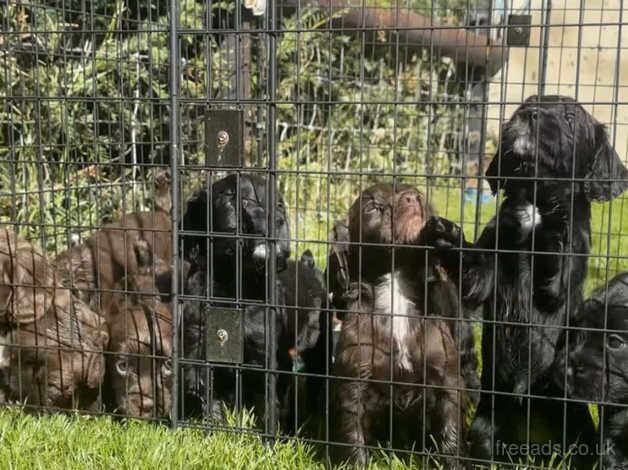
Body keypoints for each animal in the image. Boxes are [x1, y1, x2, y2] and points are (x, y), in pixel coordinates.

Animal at [179, 173, 292, 430]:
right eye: (234, 200)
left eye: (279, 203)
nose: (278, 220)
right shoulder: (198, 343)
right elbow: (205, 390)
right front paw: (214, 428)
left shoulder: (264, 347)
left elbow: (269, 401)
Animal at [332, 184, 468, 466]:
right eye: (373, 207)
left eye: (416, 192)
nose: (413, 197)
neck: (396, 286)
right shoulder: (353, 382)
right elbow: (352, 436)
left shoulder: (447, 379)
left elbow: (450, 434)